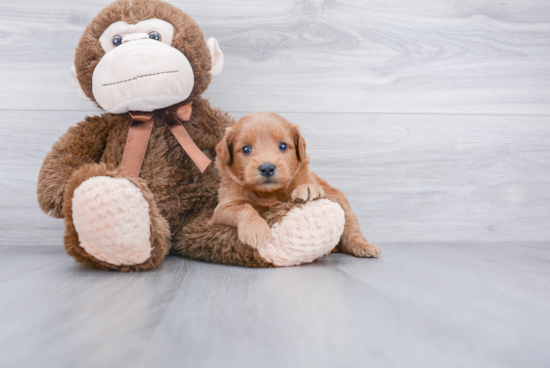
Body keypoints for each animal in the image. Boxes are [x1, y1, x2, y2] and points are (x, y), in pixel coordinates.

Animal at [213, 110, 382, 258]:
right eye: (246, 149)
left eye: (282, 146)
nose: (267, 168)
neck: (270, 193)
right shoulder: (222, 208)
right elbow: (244, 208)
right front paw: (255, 229)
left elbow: (306, 185)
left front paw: (307, 188)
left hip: (341, 202)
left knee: (352, 230)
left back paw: (364, 246)